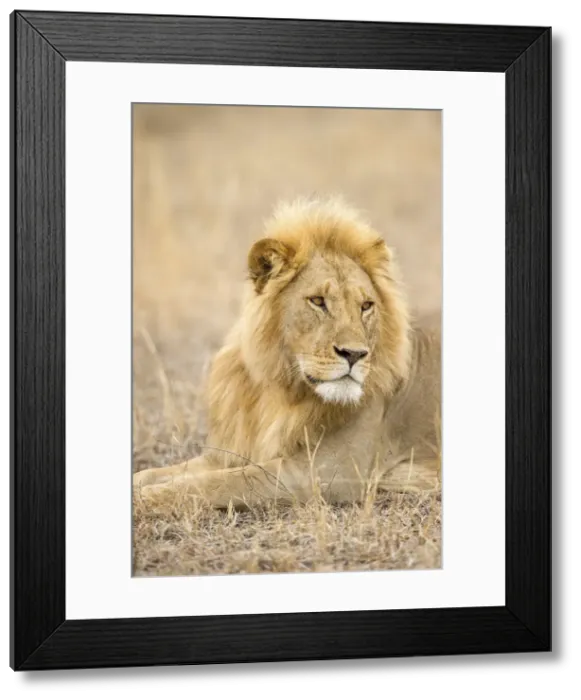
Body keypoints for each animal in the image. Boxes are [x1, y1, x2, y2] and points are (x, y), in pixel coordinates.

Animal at [134, 196, 441, 508]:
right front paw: (143, 482)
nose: (354, 354)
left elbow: (226, 481)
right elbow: (165, 471)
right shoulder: (234, 451)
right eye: (317, 301)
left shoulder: (331, 471)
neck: (280, 389)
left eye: (366, 306)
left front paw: (149, 497)